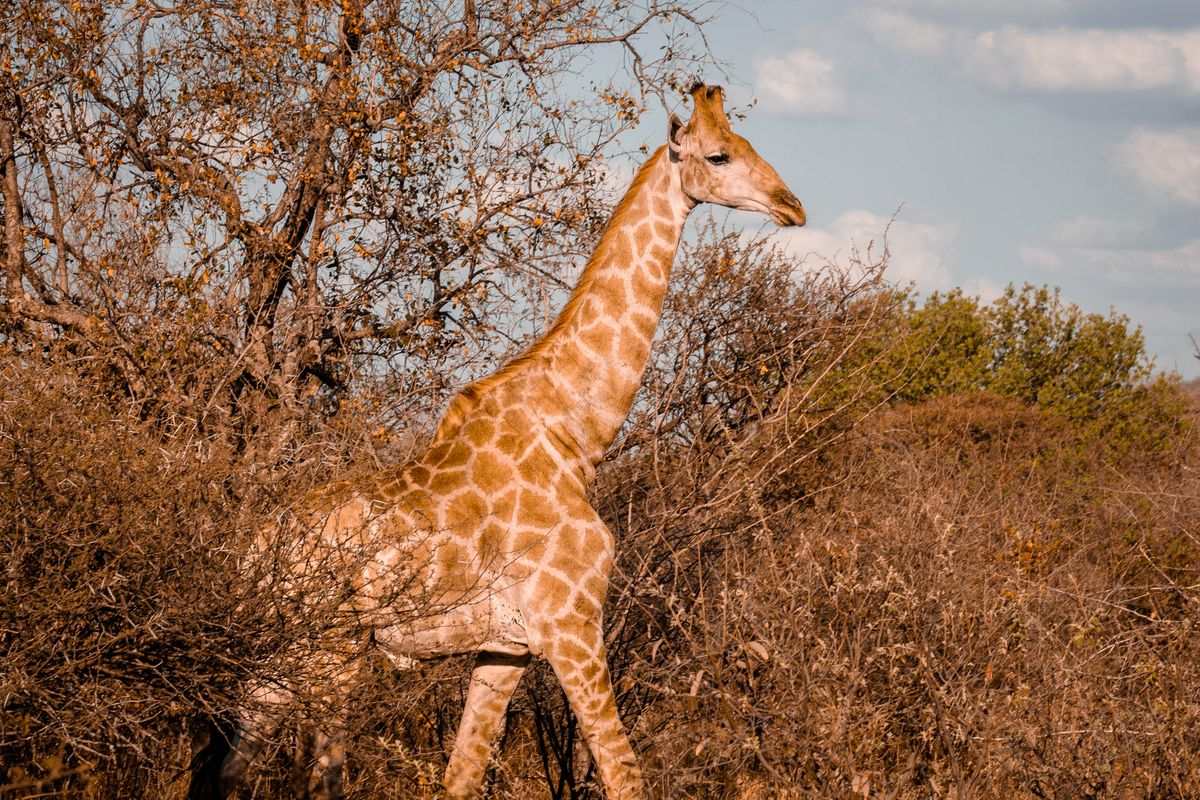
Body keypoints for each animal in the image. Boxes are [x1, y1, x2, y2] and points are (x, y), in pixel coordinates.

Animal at [188, 82, 805, 800]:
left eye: (747, 142)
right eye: (718, 154)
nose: (793, 205)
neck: (575, 432)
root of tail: (251, 553)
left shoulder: (505, 647)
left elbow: (462, 773)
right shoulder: (572, 626)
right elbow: (623, 772)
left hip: (281, 659)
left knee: (228, 768)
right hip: (326, 651)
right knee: (310, 774)